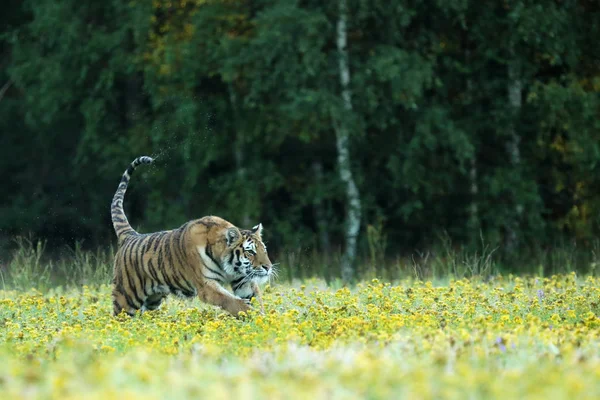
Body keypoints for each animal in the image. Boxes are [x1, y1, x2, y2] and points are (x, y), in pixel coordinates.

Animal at [110, 155, 274, 318]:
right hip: (126, 299)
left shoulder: (243, 280)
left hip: (152, 300)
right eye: (250, 251)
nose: (268, 267)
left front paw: (263, 317)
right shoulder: (207, 286)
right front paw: (256, 316)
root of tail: (130, 235)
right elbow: (233, 302)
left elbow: (255, 299)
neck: (228, 266)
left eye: (264, 250)